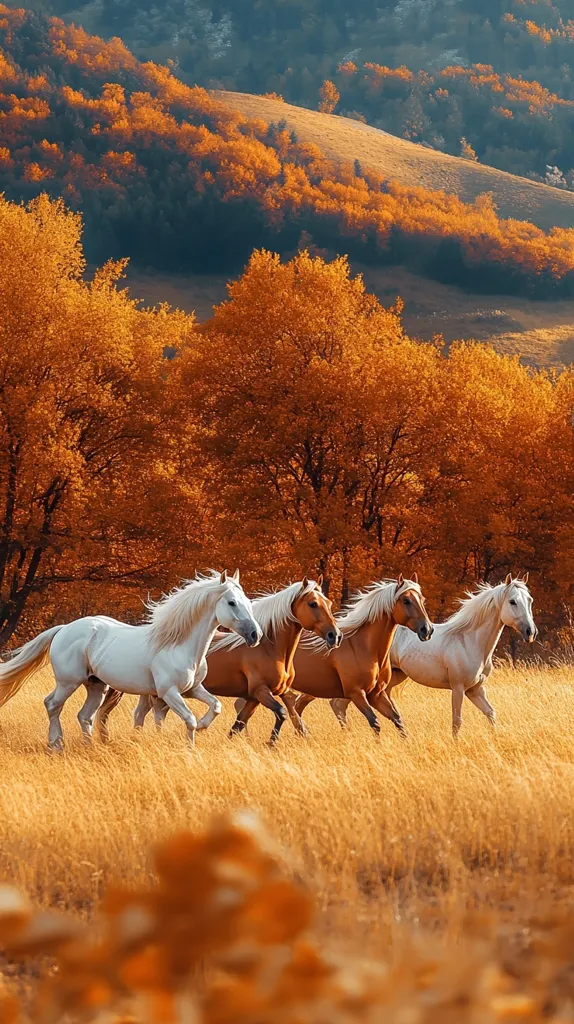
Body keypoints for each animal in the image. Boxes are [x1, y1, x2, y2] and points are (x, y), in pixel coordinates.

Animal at [0, 570, 262, 749]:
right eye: (231, 602)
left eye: (248, 603)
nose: (255, 635)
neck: (178, 645)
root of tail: (64, 629)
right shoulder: (169, 693)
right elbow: (189, 720)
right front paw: (191, 745)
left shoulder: (192, 689)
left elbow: (215, 706)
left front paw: (204, 726)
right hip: (68, 682)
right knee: (53, 704)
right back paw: (56, 744)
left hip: (97, 686)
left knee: (85, 716)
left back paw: (89, 747)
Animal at [97, 577, 341, 746]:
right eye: (312, 604)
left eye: (328, 602)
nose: (335, 636)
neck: (269, 648)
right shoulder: (261, 691)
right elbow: (280, 713)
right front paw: (270, 743)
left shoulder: (259, 695)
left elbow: (243, 722)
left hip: (153, 692)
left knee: (142, 714)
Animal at [235, 574, 433, 743]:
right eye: (406, 600)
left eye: (422, 600)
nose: (427, 630)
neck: (364, 646)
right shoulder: (357, 693)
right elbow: (375, 722)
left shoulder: (377, 694)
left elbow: (397, 720)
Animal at [314, 574, 537, 737]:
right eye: (512, 601)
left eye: (530, 600)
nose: (530, 632)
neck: (470, 641)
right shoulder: (458, 688)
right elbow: (457, 720)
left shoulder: (476, 689)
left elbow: (491, 713)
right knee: (338, 704)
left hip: (392, 679)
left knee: (345, 705)